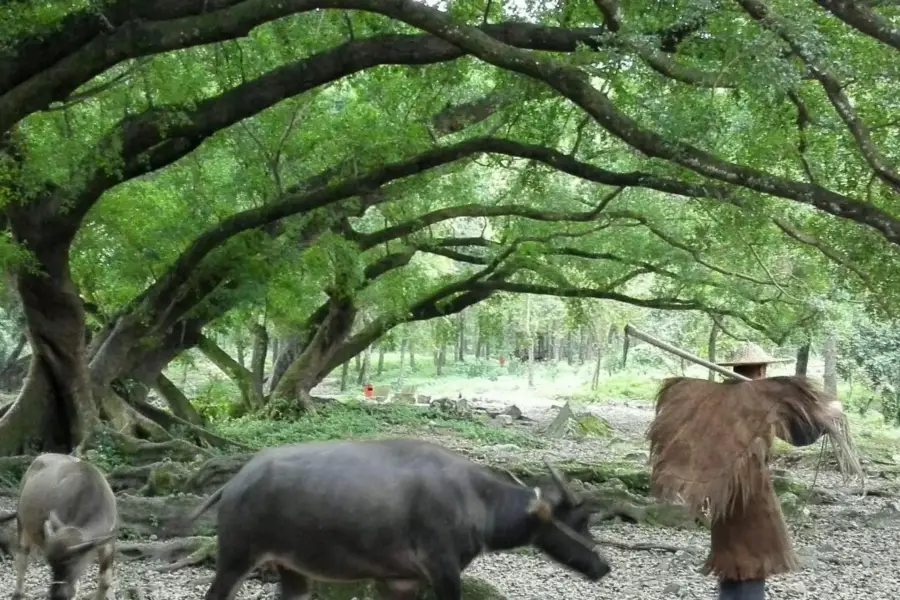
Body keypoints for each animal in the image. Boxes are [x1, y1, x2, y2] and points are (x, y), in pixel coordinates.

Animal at [0, 454, 118, 600]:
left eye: (70, 562)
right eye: (50, 562)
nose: (56, 595)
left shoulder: (107, 543)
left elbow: (105, 581)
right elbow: (74, 588)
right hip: (21, 522)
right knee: (22, 557)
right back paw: (18, 593)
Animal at [187, 436, 616, 600]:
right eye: (581, 521)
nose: (604, 567)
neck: (474, 500)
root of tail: (236, 481)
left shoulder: (400, 581)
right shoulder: (444, 571)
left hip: (292, 571)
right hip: (235, 559)